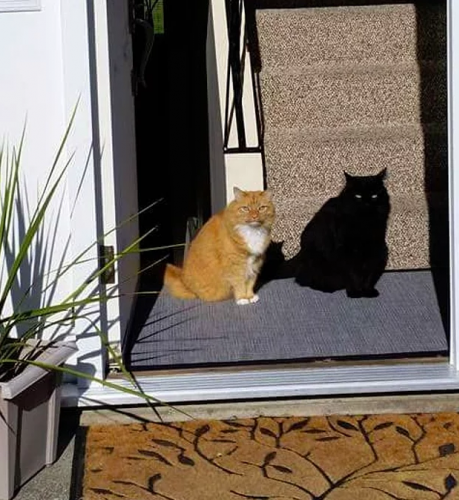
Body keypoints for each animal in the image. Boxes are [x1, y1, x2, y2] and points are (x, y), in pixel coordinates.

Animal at [294, 169, 390, 298]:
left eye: (374, 196)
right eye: (358, 196)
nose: (367, 204)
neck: (363, 225)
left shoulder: (375, 249)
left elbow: (369, 275)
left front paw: (367, 291)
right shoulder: (345, 251)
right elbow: (352, 275)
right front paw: (355, 292)